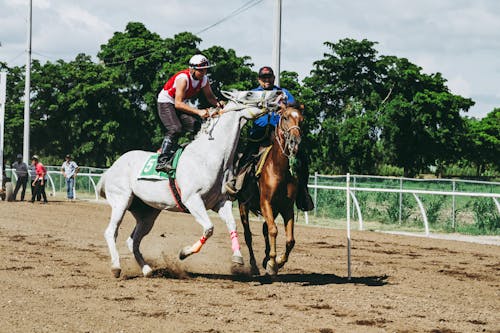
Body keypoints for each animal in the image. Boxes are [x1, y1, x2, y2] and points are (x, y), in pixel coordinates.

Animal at [97, 89, 282, 276]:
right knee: (110, 232)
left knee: (133, 240)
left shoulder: (221, 201)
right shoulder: (192, 200)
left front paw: (237, 258)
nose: (277, 93)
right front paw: (184, 253)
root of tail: (111, 169)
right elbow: (209, 228)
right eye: (250, 93)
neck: (209, 157)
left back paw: (147, 269)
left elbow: (232, 224)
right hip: (121, 201)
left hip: (147, 212)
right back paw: (116, 267)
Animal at [239, 104, 304, 274]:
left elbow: (290, 240)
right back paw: (254, 265)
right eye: (285, 117)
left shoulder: (287, 207)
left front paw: (278, 261)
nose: (295, 140)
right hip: (243, 205)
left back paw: (265, 258)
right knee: (248, 235)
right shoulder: (265, 202)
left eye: (302, 119)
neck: (279, 169)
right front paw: (272, 264)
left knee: (264, 228)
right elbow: (273, 230)